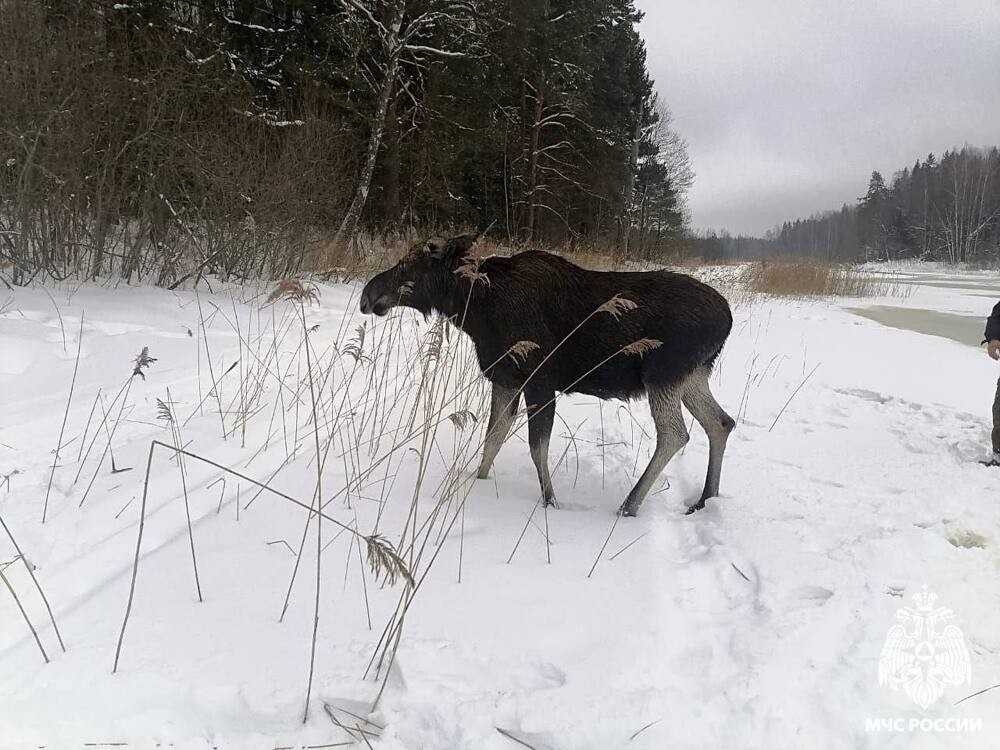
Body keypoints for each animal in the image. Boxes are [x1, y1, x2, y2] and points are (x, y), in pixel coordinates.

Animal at [360, 235, 736, 516]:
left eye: (408, 263)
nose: (367, 295)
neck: (477, 310)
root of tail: (727, 319)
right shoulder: (505, 379)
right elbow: (493, 437)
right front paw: (477, 482)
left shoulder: (539, 381)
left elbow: (536, 446)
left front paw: (551, 501)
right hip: (693, 375)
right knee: (721, 422)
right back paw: (705, 499)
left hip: (664, 373)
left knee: (675, 434)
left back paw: (628, 506)